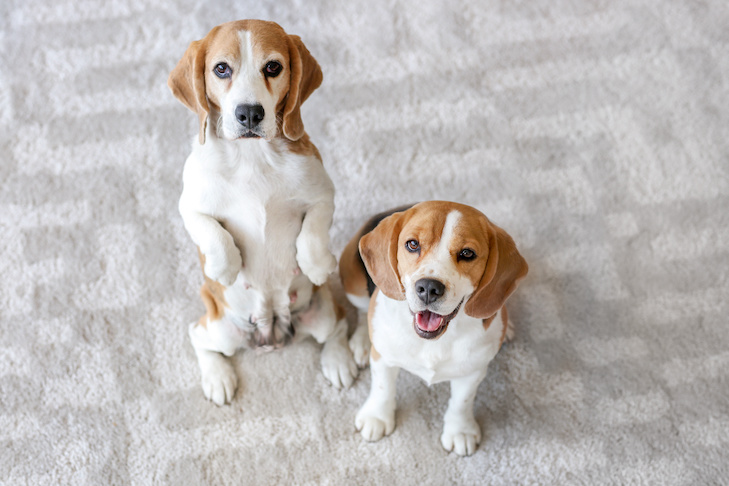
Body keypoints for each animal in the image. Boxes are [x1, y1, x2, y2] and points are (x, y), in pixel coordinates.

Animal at [167, 20, 356, 404]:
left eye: (273, 67)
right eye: (221, 69)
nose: (250, 113)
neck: (252, 157)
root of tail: (272, 331)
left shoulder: (323, 194)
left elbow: (313, 234)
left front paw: (316, 265)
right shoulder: (189, 206)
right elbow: (214, 234)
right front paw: (224, 267)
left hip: (323, 316)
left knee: (339, 326)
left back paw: (339, 361)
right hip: (220, 330)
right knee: (197, 336)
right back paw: (218, 377)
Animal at [338, 200, 528, 456]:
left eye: (467, 253)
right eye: (412, 244)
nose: (429, 288)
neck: (433, 340)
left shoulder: (472, 371)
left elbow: (461, 402)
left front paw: (460, 430)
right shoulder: (383, 358)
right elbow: (382, 388)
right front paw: (376, 417)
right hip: (353, 282)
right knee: (360, 310)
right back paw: (361, 342)